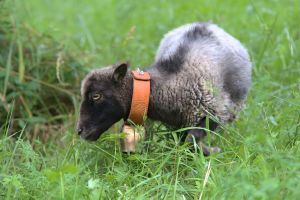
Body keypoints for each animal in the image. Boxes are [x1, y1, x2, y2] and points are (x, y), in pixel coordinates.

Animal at [77, 22, 251, 155]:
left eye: (96, 96)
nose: (79, 131)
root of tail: (208, 24)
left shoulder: (213, 113)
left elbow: (191, 141)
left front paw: (211, 151)